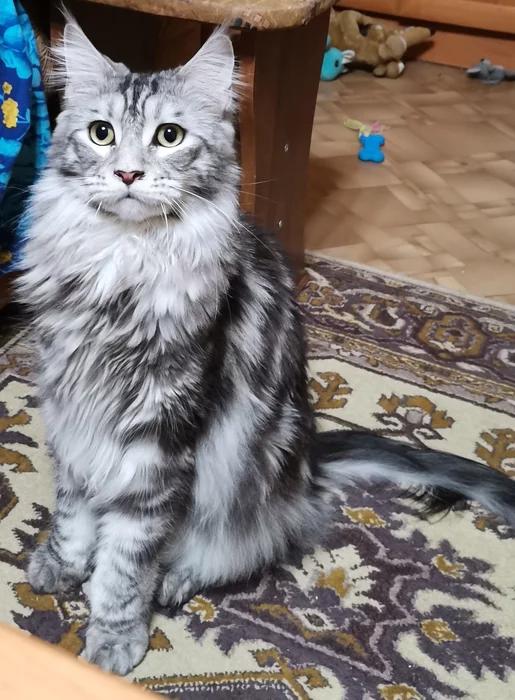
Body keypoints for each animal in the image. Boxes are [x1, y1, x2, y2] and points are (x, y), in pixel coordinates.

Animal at [20, 18, 515, 676]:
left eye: (169, 136)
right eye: (102, 134)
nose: (127, 175)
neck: (120, 269)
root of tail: (309, 462)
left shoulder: (160, 435)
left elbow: (126, 556)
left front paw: (114, 636)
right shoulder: (74, 410)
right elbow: (75, 510)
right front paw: (62, 565)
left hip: (241, 481)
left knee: (246, 545)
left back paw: (176, 579)